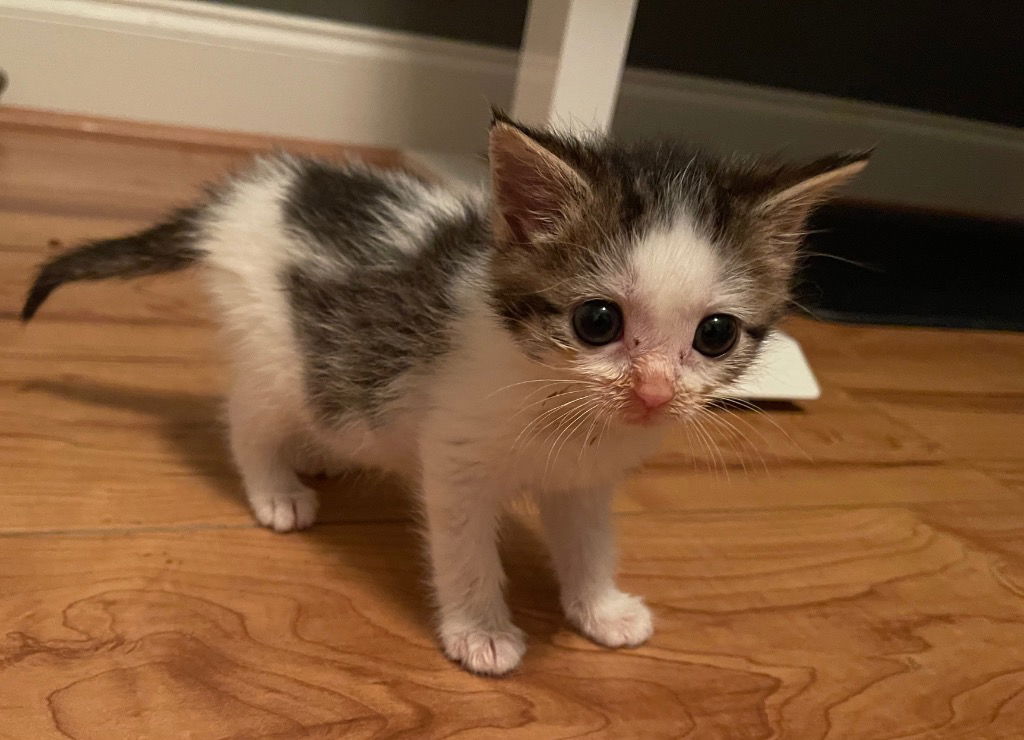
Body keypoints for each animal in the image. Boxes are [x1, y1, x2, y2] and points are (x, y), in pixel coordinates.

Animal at [19, 113, 868, 675]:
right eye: (597, 321)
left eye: (715, 334)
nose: (654, 392)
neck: (559, 406)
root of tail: (250, 191)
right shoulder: (456, 455)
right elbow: (462, 547)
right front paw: (479, 630)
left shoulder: (587, 480)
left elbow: (589, 541)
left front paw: (600, 608)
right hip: (274, 350)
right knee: (246, 419)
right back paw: (276, 488)